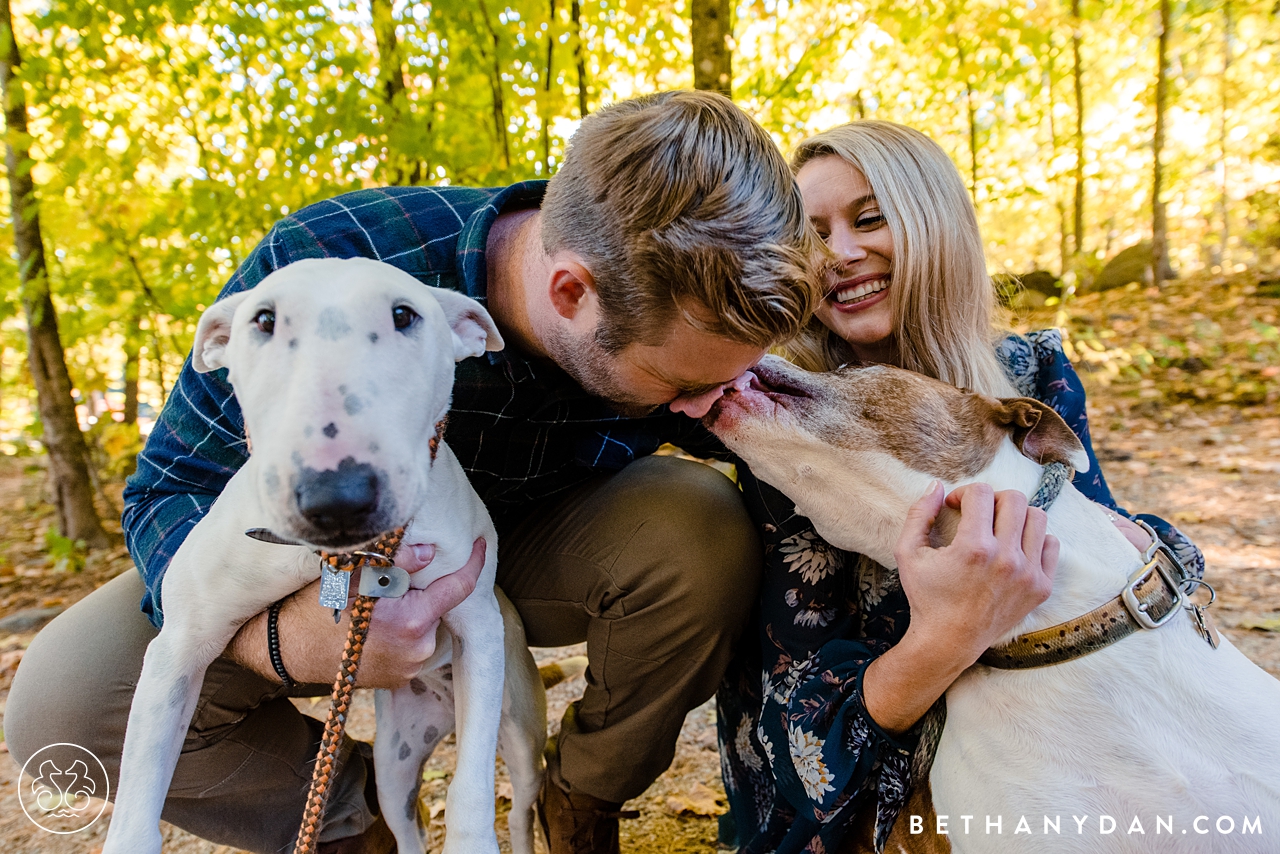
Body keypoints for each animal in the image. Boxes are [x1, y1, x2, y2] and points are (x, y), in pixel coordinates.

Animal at [108, 257, 545, 854]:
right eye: (263, 320)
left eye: (404, 315)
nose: (336, 495)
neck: (345, 560)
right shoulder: (177, 653)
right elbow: (133, 815)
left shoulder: (478, 623)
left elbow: (471, 792)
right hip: (395, 761)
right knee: (404, 820)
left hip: (519, 726)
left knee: (521, 807)